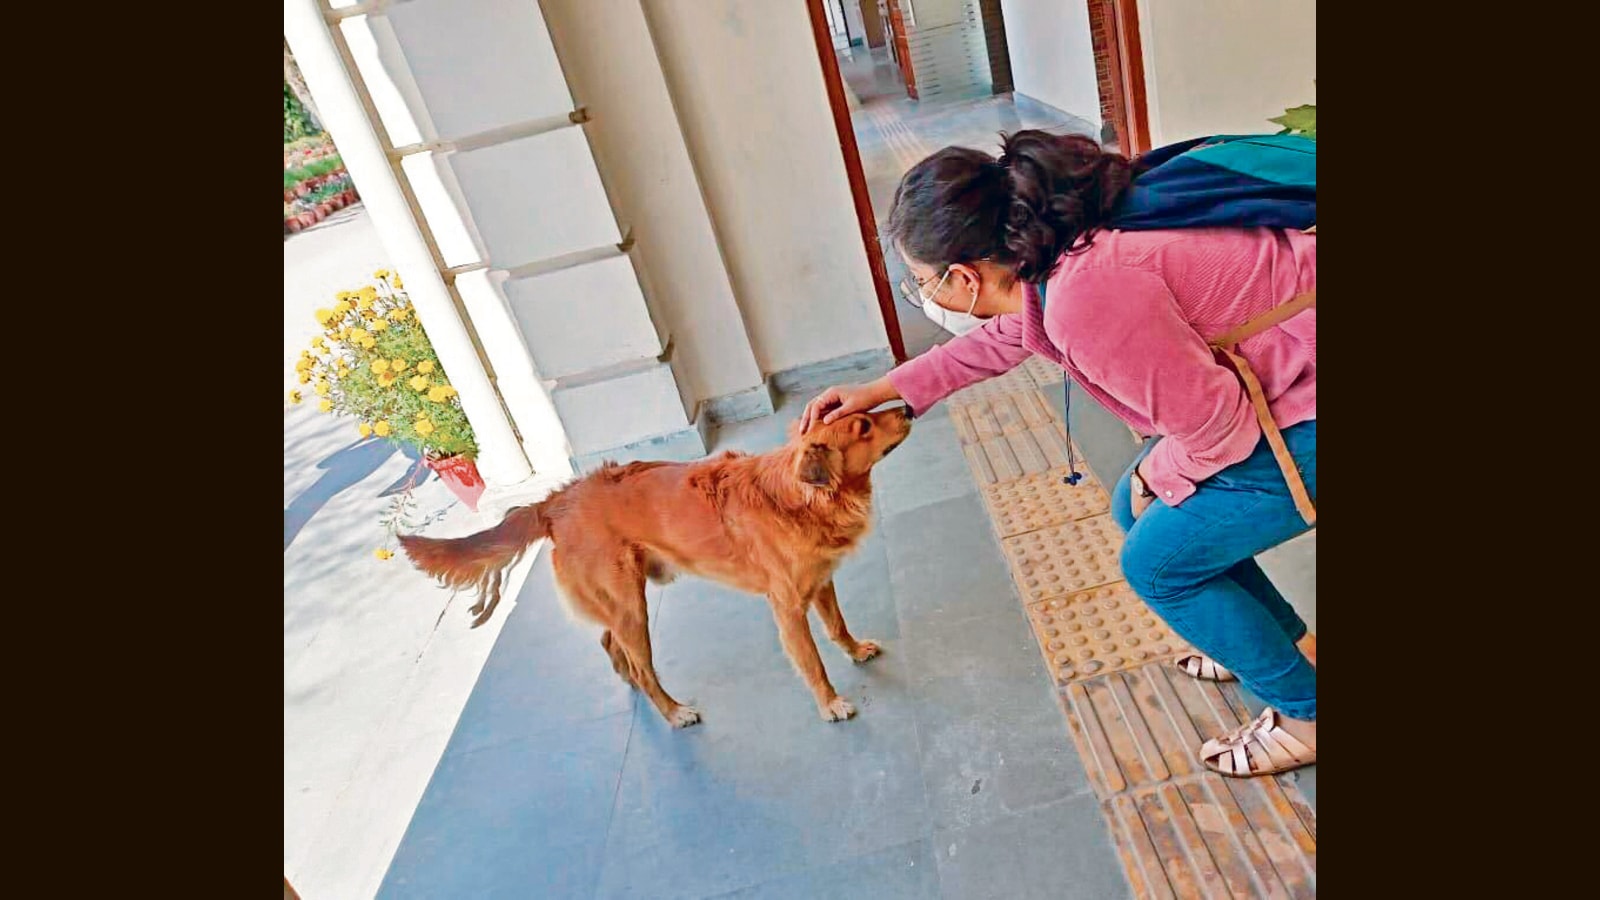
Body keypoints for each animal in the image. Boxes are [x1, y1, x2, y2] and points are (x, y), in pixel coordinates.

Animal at [400, 405, 915, 720]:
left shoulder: (820, 580)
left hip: (622, 602)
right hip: (632, 605)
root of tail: (556, 501)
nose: (908, 408)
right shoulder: (787, 607)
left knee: (611, 642)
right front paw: (830, 704)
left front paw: (855, 650)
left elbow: (837, 626)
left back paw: (626, 678)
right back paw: (672, 711)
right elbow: (812, 663)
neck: (798, 498)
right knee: (644, 667)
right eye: (863, 428)